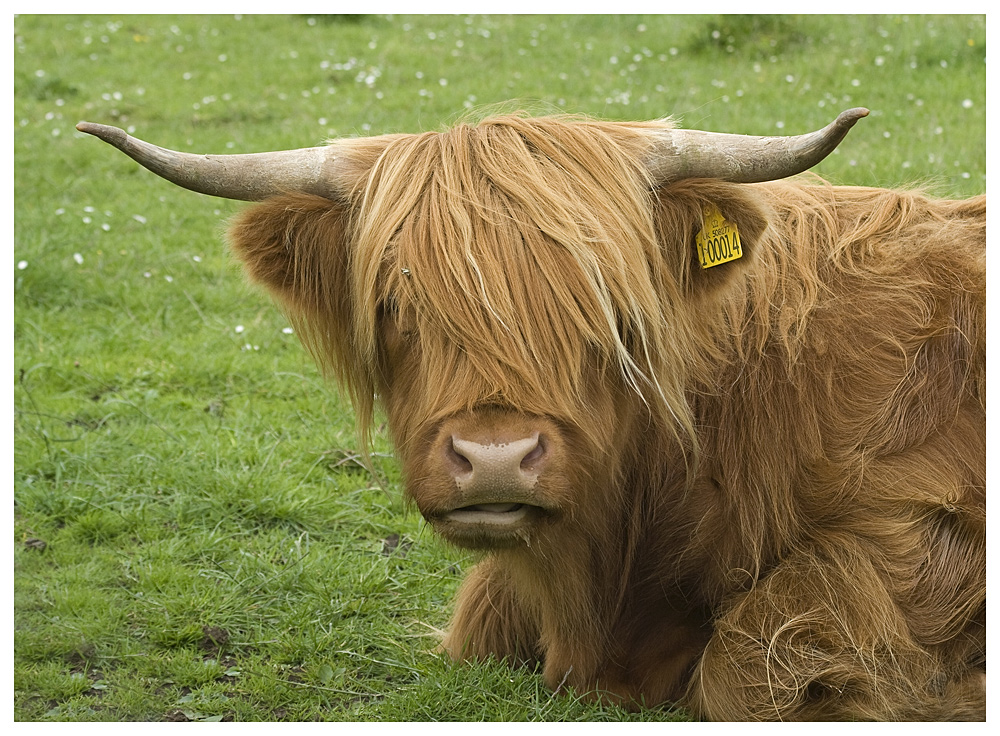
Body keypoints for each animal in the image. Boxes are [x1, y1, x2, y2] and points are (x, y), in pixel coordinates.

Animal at [78, 109, 984, 720]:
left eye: (606, 302)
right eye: (394, 302)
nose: (495, 459)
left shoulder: (914, 534)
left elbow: (752, 661)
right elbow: (478, 622)